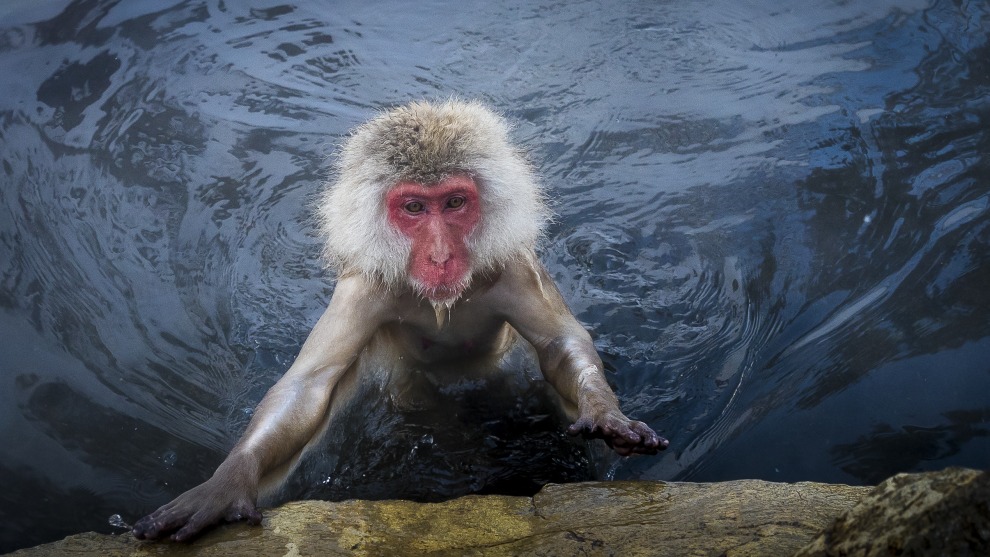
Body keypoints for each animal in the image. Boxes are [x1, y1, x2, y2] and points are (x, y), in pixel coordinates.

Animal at [132, 99, 667, 542]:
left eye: (454, 203)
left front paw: (606, 414)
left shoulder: (514, 269)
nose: (440, 255)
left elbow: (559, 345)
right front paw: (227, 482)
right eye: (413, 207)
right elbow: (309, 386)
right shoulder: (363, 290)